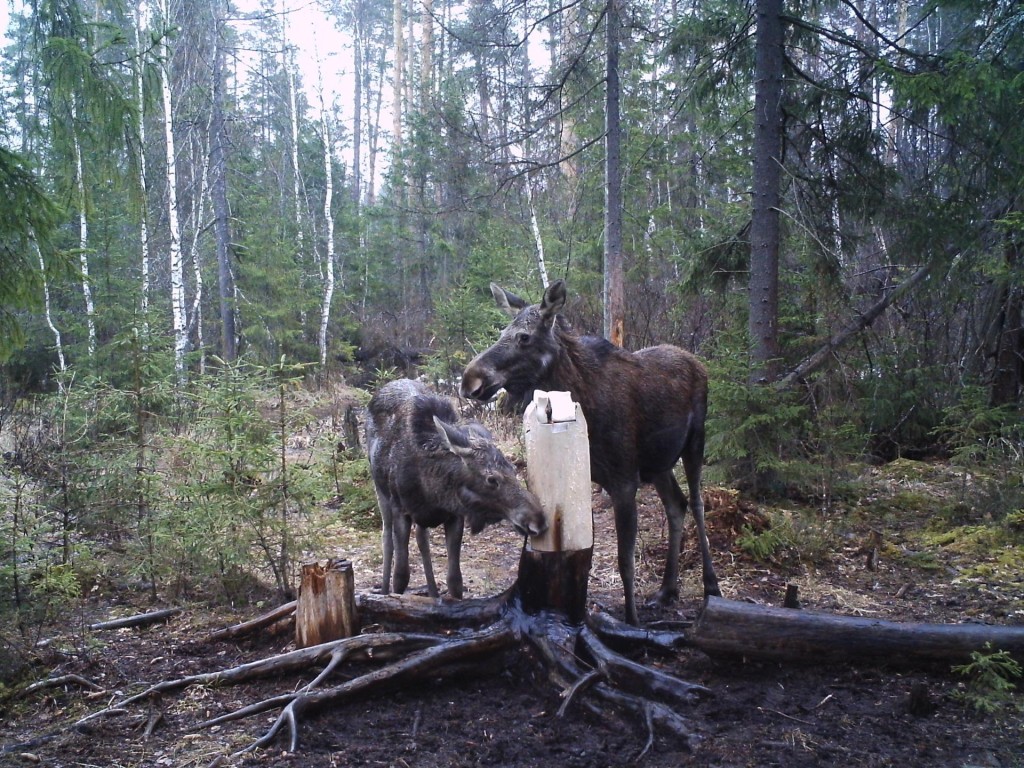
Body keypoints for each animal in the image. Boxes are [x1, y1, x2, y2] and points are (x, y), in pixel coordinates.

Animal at [366, 378, 548, 602]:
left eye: (513, 470)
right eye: (491, 479)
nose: (538, 520)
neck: (431, 490)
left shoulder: (454, 515)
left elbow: (455, 579)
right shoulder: (401, 509)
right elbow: (401, 575)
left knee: (422, 540)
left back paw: (433, 593)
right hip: (381, 492)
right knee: (387, 539)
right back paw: (384, 589)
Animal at [464, 282, 720, 626]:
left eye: (524, 337)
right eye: (504, 331)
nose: (470, 380)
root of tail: (698, 362)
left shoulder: (624, 480)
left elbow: (625, 561)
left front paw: (631, 621)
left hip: (695, 442)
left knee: (697, 503)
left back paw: (711, 586)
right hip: (658, 464)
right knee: (676, 505)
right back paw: (667, 590)